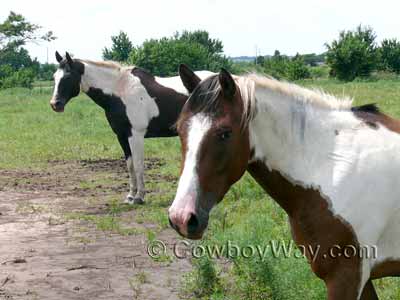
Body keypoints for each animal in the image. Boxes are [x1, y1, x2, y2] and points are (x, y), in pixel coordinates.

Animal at [50, 52, 214, 205]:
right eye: (54, 77)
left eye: (68, 76)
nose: (55, 104)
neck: (120, 90)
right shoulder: (122, 136)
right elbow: (130, 166)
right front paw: (130, 196)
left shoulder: (136, 135)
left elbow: (138, 164)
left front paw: (139, 197)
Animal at [169, 65, 400, 300]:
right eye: (179, 129)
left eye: (225, 133)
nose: (181, 217)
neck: (332, 166)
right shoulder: (361, 278)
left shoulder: (347, 277)